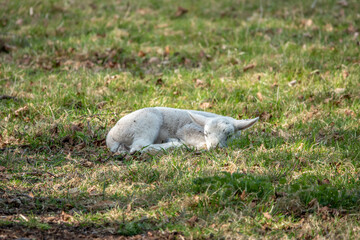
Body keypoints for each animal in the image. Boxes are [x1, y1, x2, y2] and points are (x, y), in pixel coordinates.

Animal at [107, 106, 258, 155]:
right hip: (147, 121)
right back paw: (175, 143)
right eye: (206, 133)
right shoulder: (186, 129)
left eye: (229, 135)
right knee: (139, 146)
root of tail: (111, 137)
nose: (214, 148)